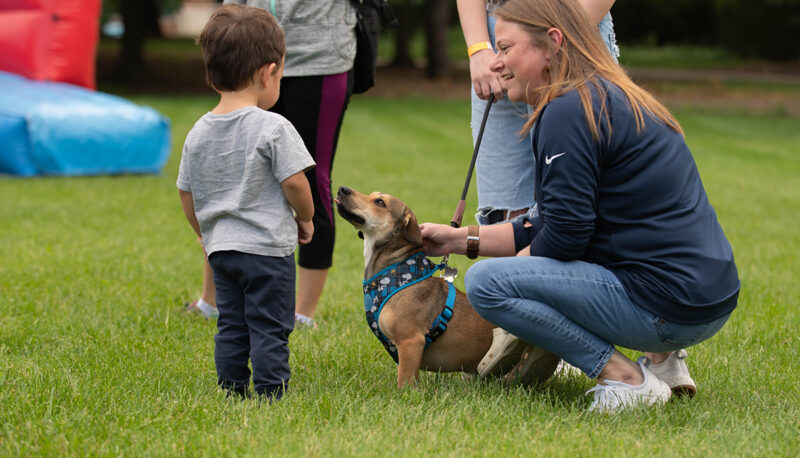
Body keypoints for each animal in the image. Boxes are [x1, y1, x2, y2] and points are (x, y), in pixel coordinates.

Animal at [332, 185, 496, 386]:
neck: (395, 271)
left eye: (380, 202)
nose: (342, 189)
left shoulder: (410, 342)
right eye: (372, 195)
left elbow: (404, 381)